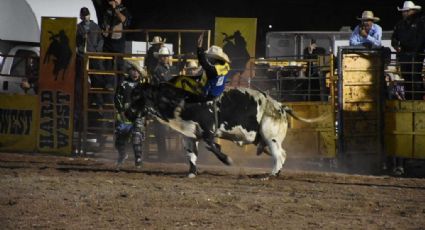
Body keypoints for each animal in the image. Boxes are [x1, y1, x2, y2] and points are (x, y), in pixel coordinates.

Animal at [129, 83, 324, 178]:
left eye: (138, 95)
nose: (127, 112)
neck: (184, 103)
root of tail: (281, 107)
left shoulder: (208, 130)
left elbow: (212, 146)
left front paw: (227, 160)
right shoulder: (189, 135)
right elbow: (191, 155)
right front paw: (191, 173)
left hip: (270, 136)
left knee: (279, 154)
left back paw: (271, 175)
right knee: (282, 154)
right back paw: (277, 173)